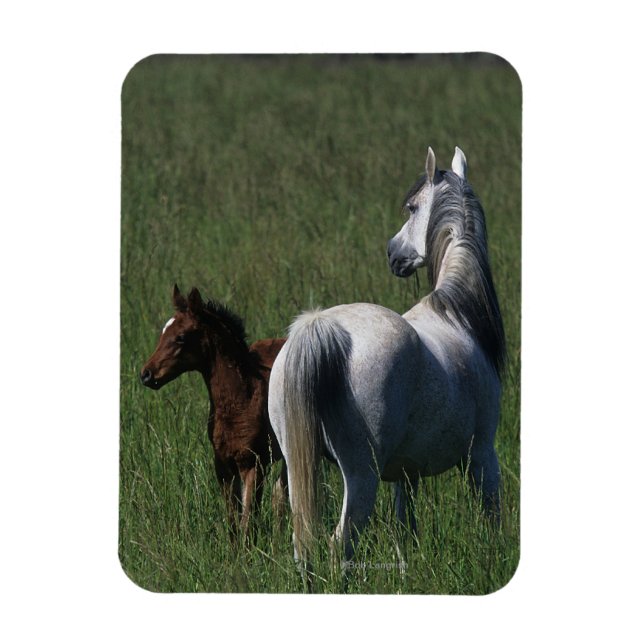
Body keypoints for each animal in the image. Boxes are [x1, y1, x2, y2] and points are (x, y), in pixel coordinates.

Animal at [141, 285, 288, 538]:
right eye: (162, 332)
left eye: (180, 337)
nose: (146, 374)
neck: (241, 400)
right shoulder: (223, 467)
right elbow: (233, 524)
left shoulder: (254, 465)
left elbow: (247, 522)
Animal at [268, 145, 506, 575]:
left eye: (411, 208)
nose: (392, 253)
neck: (456, 314)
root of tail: (322, 327)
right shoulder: (482, 457)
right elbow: (491, 518)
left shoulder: (404, 474)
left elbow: (404, 533)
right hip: (361, 476)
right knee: (339, 548)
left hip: (298, 467)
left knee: (303, 548)